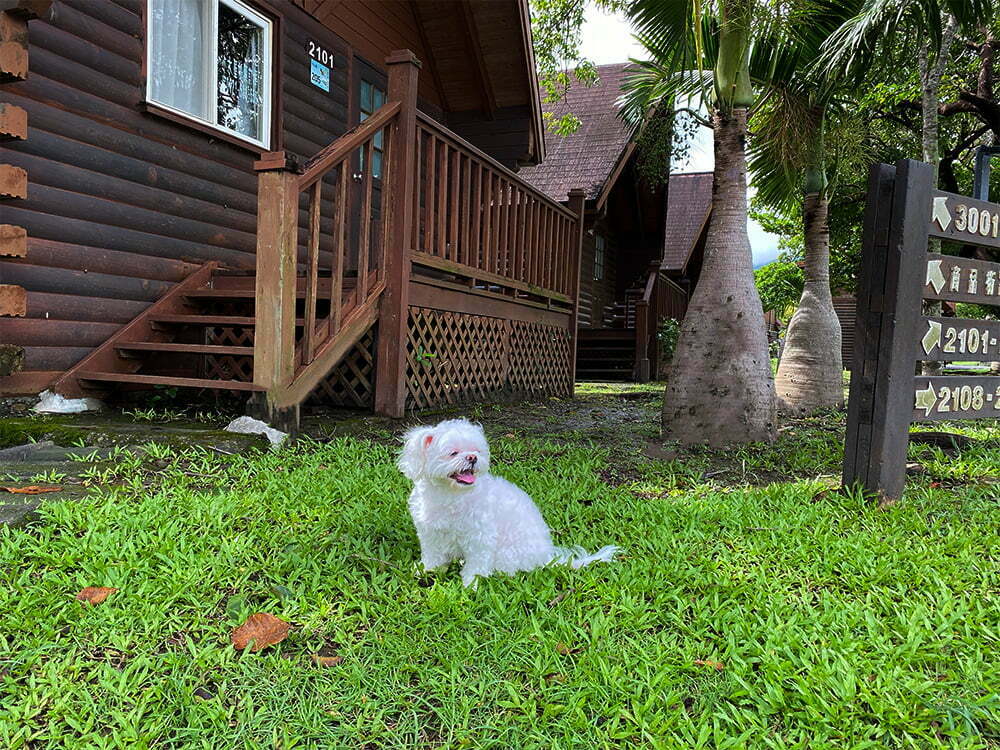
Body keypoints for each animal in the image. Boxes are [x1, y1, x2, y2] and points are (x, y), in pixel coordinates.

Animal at [398, 418, 616, 588]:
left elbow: (477, 563)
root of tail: (546, 556)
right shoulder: (430, 533)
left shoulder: (480, 536)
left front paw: (471, 583)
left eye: (477, 451)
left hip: (506, 553)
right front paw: (427, 569)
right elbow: (433, 555)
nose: (472, 458)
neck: (450, 493)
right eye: (453, 452)